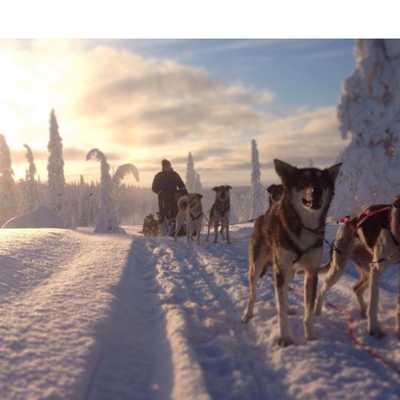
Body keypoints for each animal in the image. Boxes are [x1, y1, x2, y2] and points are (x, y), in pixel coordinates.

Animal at [241, 160, 340, 346]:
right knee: (253, 294)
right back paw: (248, 314)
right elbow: (280, 309)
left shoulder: (311, 272)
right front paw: (285, 338)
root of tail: (262, 217)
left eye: (323, 182)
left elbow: (308, 311)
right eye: (304, 181)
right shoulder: (280, 269)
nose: (317, 190)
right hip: (257, 268)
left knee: (284, 290)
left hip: (290, 272)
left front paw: (311, 337)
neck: (304, 226)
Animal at [316, 197, 400, 338]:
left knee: (356, 288)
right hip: (340, 269)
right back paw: (317, 313)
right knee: (322, 290)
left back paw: (363, 311)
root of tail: (348, 220)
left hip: (368, 272)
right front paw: (373, 329)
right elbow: (373, 304)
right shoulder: (377, 269)